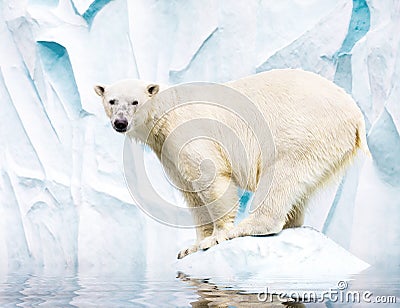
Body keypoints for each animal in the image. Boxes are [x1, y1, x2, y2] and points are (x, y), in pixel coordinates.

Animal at [94, 69, 368, 258]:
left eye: (135, 101)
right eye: (112, 101)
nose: (120, 123)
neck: (167, 112)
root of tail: (355, 115)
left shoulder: (189, 132)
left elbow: (210, 177)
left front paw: (216, 237)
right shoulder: (169, 152)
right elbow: (191, 193)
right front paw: (191, 246)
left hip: (303, 130)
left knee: (281, 175)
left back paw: (249, 225)